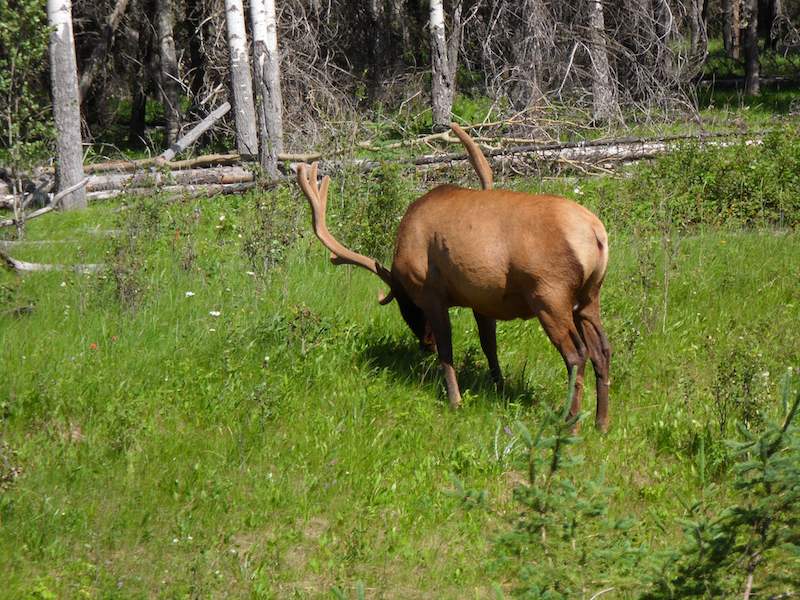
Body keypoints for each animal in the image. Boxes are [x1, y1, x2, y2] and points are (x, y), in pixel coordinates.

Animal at [296, 124, 612, 428]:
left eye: (408, 306)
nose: (425, 343)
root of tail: (596, 234)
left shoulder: (432, 293)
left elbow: (447, 351)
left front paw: (455, 400)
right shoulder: (483, 300)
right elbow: (489, 346)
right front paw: (498, 388)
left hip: (549, 294)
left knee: (577, 354)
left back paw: (570, 423)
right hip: (589, 295)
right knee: (602, 350)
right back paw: (601, 422)